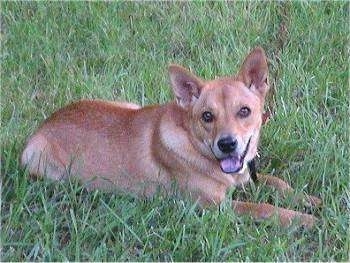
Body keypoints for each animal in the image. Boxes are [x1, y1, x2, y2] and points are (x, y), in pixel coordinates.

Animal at [20, 47, 320, 229]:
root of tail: (46, 123)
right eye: (207, 116)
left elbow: (278, 183)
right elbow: (263, 208)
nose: (227, 144)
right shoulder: (215, 207)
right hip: (47, 167)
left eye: (244, 111)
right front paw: (303, 219)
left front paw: (308, 199)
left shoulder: (247, 177)